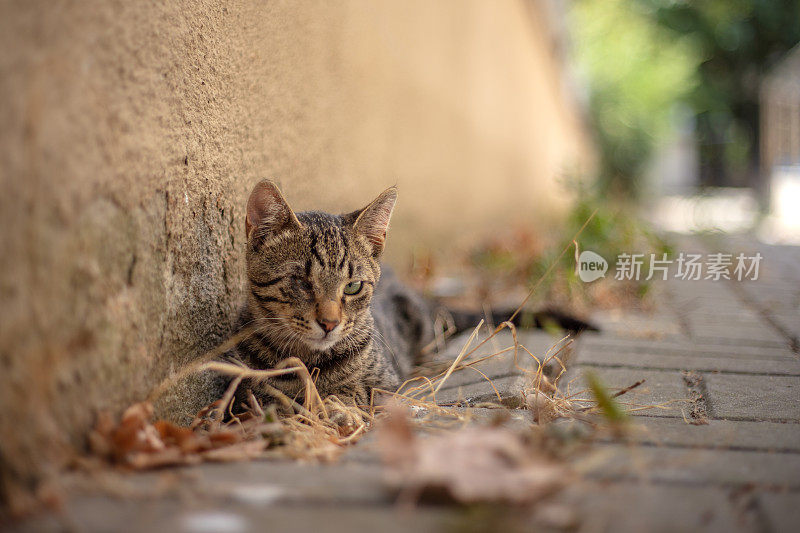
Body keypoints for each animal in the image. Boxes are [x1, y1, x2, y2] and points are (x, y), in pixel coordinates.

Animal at [227, 181, 432, 414]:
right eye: (301, 282)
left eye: (352, 286)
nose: (329, 323)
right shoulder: (243, 394)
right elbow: (267, 400)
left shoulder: (386, 383)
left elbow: (355, 392)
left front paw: (337, 407)